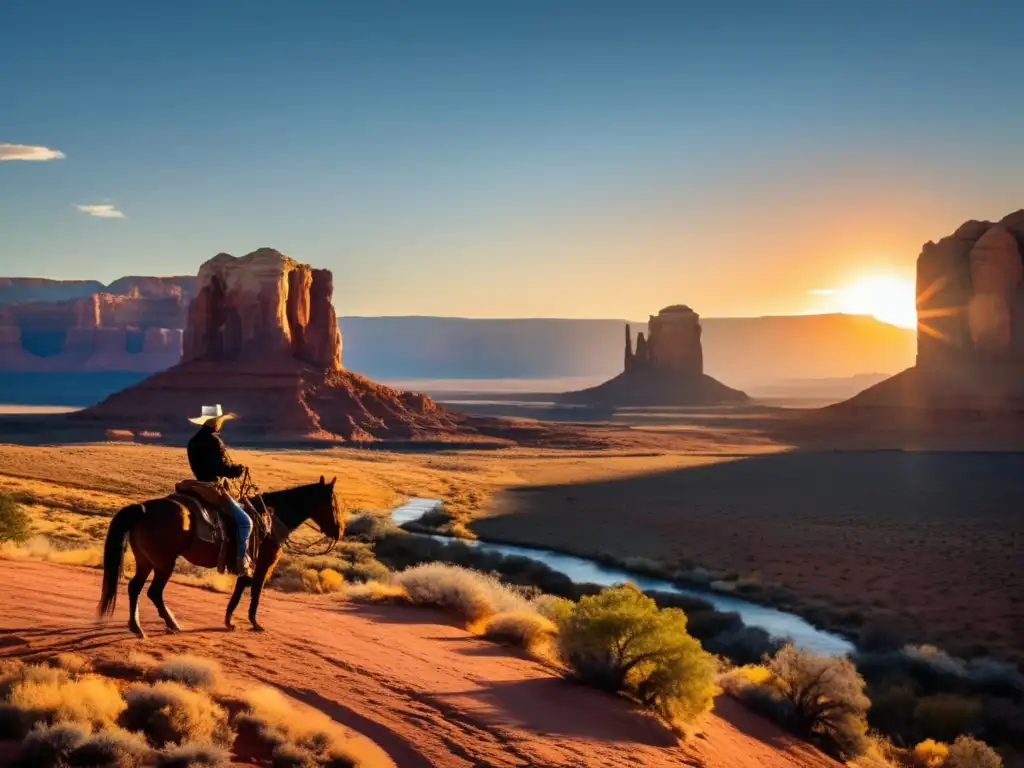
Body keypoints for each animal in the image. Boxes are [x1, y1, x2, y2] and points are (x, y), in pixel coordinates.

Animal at [97, 475, 342, 638]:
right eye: (332, 503)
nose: (339, 530)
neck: (273, 519)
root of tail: (143, 508)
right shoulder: (264, 563)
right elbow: (256, 590)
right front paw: (255, 623)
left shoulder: (249, 564)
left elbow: (241, 586)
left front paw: (229, 621)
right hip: (164, 563)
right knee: (153, 591)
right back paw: (171, 624)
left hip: (146, 561)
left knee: (135, 588)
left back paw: (137, 627)